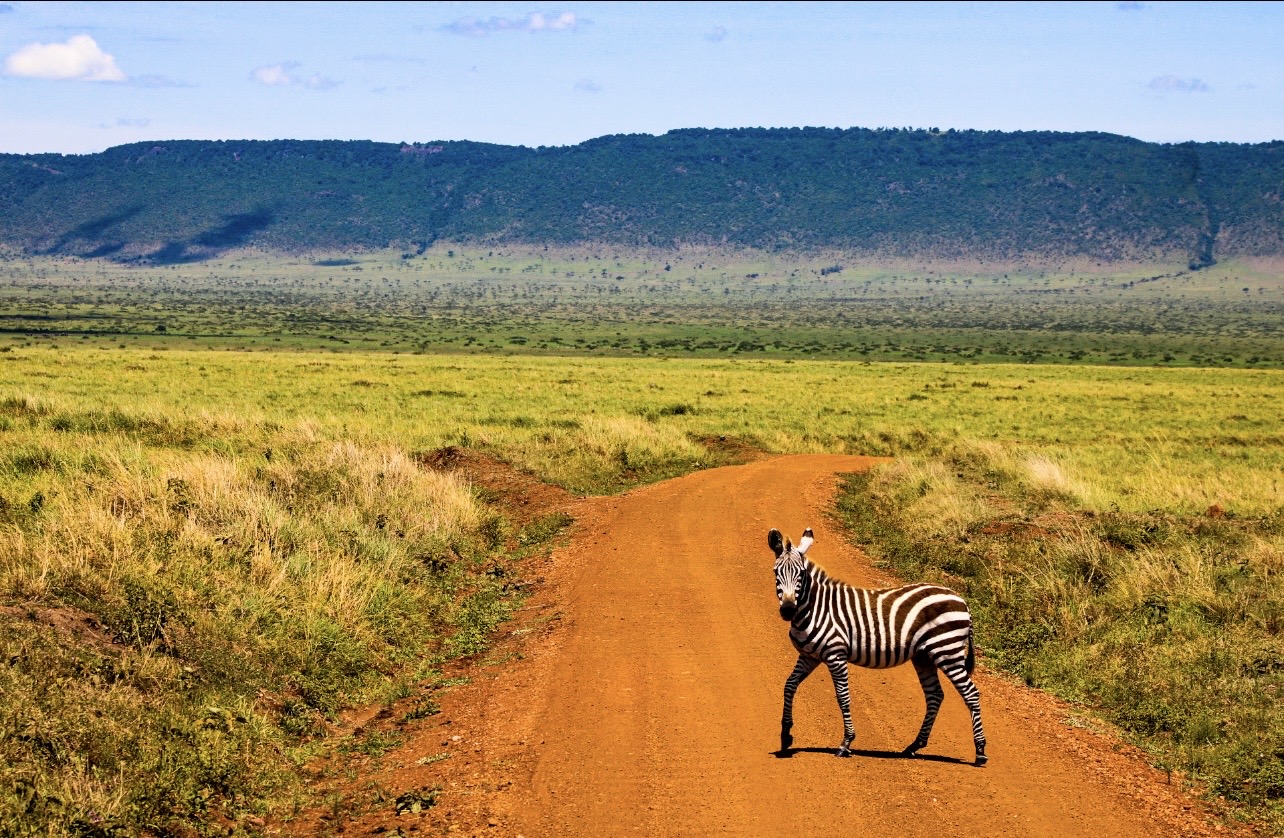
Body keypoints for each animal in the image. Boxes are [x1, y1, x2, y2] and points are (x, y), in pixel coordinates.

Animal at [770, 527, 987, 766]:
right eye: (776, 572)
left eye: (801, 574)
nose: (787, 610)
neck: (814, 609)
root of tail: (962, 601)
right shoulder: (810, 656)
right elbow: (789, 685)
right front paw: (786, 735)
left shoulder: (836, 655)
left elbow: (843, 696)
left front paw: (846, 742)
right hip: (924, 656)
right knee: (935, 695)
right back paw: (914, 746)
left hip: (947, 651)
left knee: (971, 694)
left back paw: (980, 751)